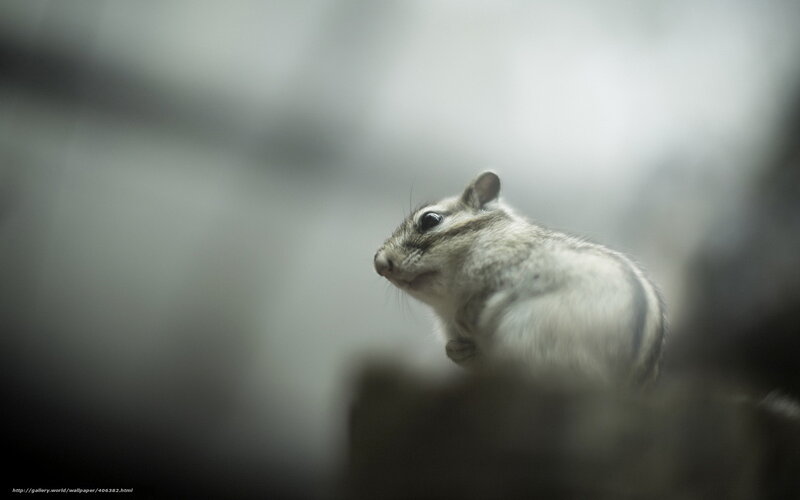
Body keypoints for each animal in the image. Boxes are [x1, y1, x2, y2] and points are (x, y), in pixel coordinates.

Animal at [374, 171, 666, 386]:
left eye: (430, 219)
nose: (379, 263)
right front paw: (456, 349)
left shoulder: (508, 264)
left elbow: (488, 295)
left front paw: (468, 316)